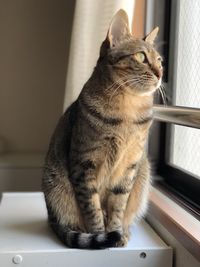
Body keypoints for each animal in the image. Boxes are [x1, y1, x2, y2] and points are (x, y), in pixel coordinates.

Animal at [42, 8, 162, 251]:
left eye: (160, 60)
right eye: (141, 57)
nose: (160, 73)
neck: (128, 111)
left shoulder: (129, 167)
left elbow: (117, 206)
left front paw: (116, 232)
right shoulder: (84, 164)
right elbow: (92, 208)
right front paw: (100, 234)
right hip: (55, 186)